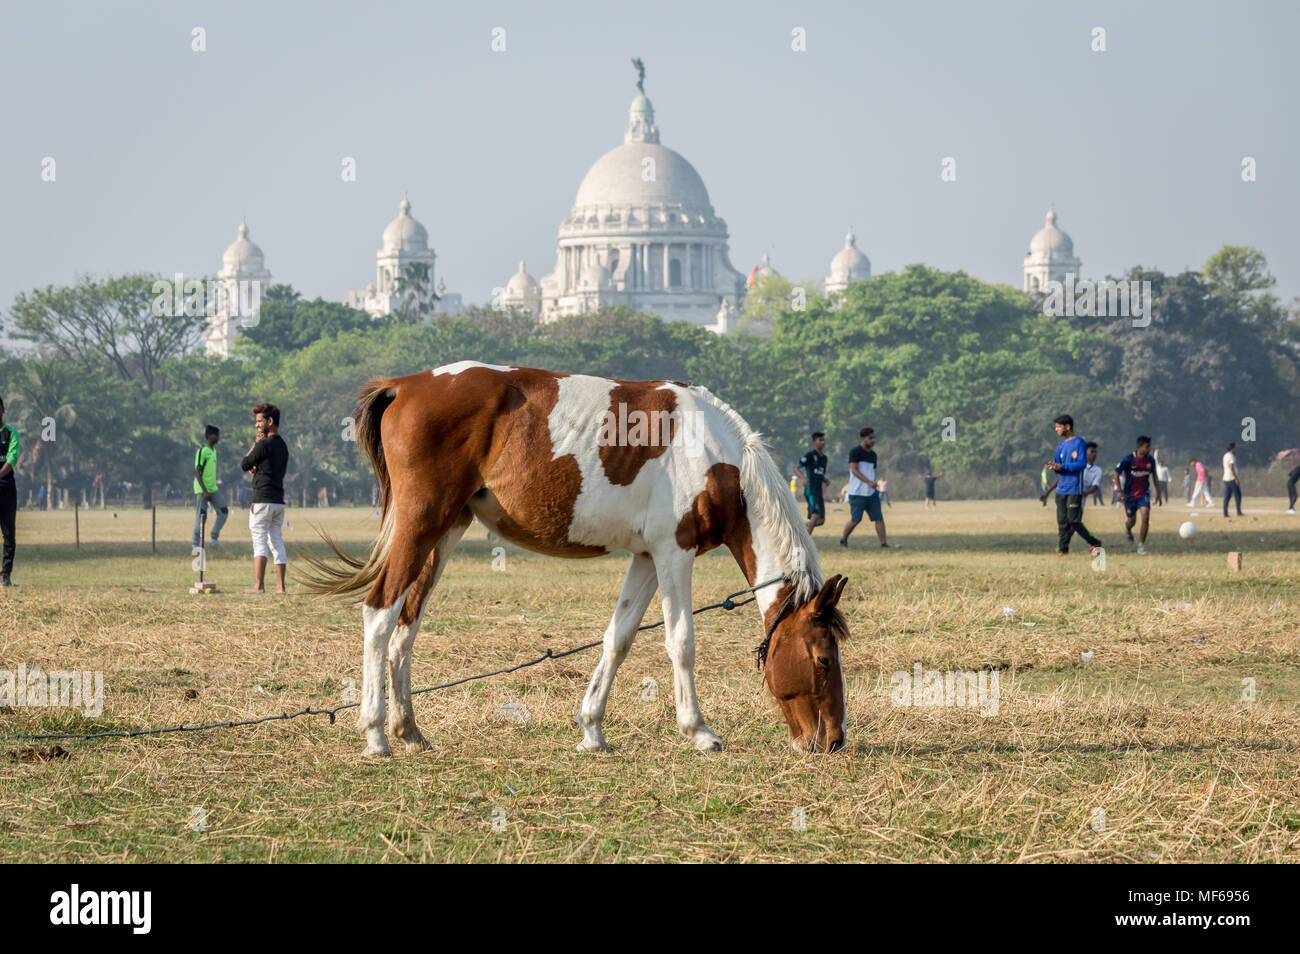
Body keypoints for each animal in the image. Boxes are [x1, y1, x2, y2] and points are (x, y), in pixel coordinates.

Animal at [304, 361, 852, 759]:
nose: (833, 742)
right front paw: (698, 731)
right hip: (421, 526)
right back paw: (376, 734)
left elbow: (619, 638)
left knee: (407, 623)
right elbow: (681, 642)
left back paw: (410, 731)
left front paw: (592, 729)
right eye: (823, 659)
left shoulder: (646, 558)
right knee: (380, 613)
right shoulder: (674, 554)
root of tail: (405, 386)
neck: (715, 455)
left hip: (444, 531)